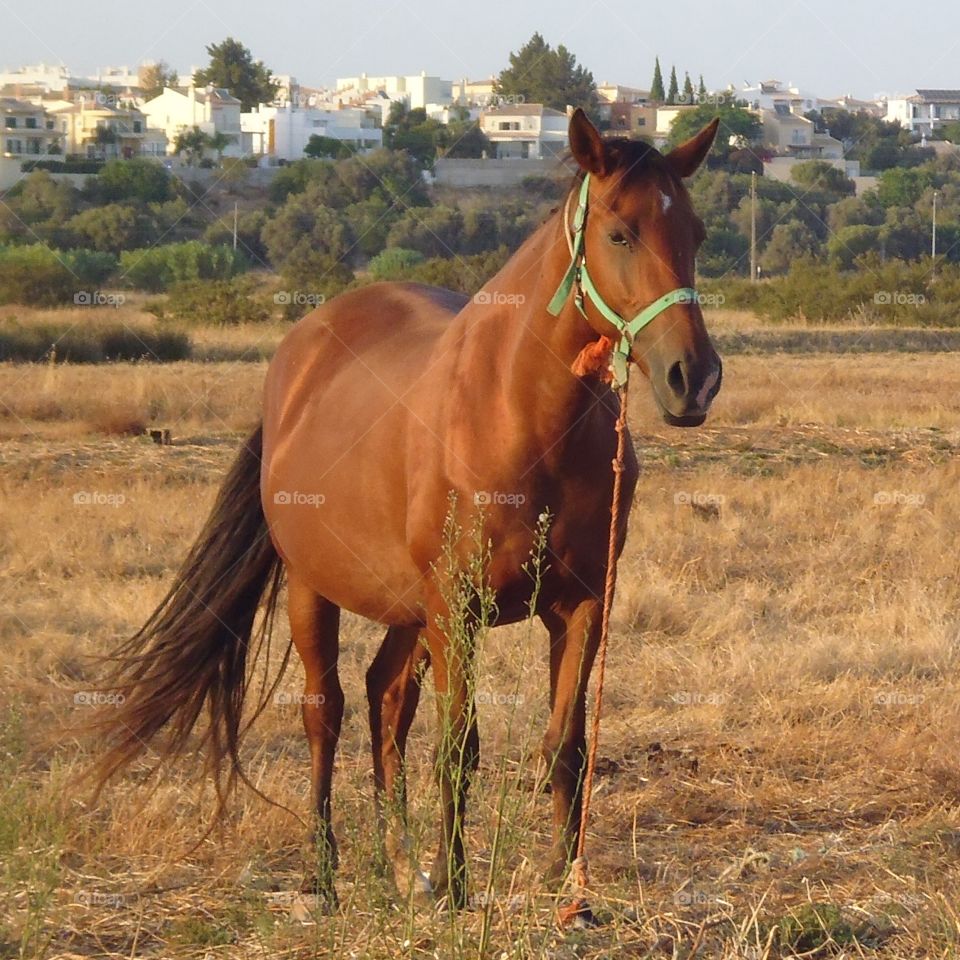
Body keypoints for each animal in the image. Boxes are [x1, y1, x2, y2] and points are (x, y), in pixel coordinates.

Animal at [94, 108, 722, 910]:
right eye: (620, 232)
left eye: (695, 232)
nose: (693, 379)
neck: (519, 414)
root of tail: (299, 353)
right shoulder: (456, 605)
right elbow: (458, 747)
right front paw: (456, 891)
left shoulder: (582, 605)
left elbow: (566, 745)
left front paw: (563, 887)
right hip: (318, 590)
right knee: (325, 711)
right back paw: (325, 874)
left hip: (409, 611)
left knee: (384, 701)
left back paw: (401, 864)